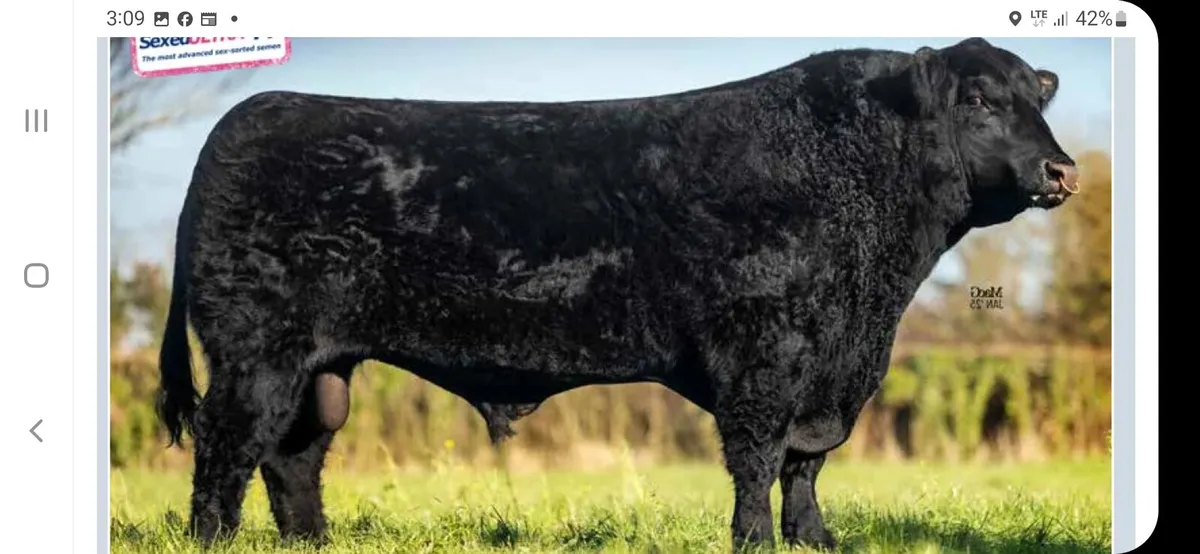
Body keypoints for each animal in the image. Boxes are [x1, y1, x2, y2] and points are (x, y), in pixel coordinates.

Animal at [156, 37, 1080, 550]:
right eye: (978, 99)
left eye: (1034, 99)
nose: (1061, 168)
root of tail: (250, 114)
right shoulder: (763, 350)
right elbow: (759, 456)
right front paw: (755, 543)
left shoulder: (836, 366)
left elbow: (807, 464)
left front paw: (818, 542)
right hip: (256, 351)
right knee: (228, 447)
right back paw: (213, 543)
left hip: (322, 365)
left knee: (294, 454)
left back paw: (312, 544)